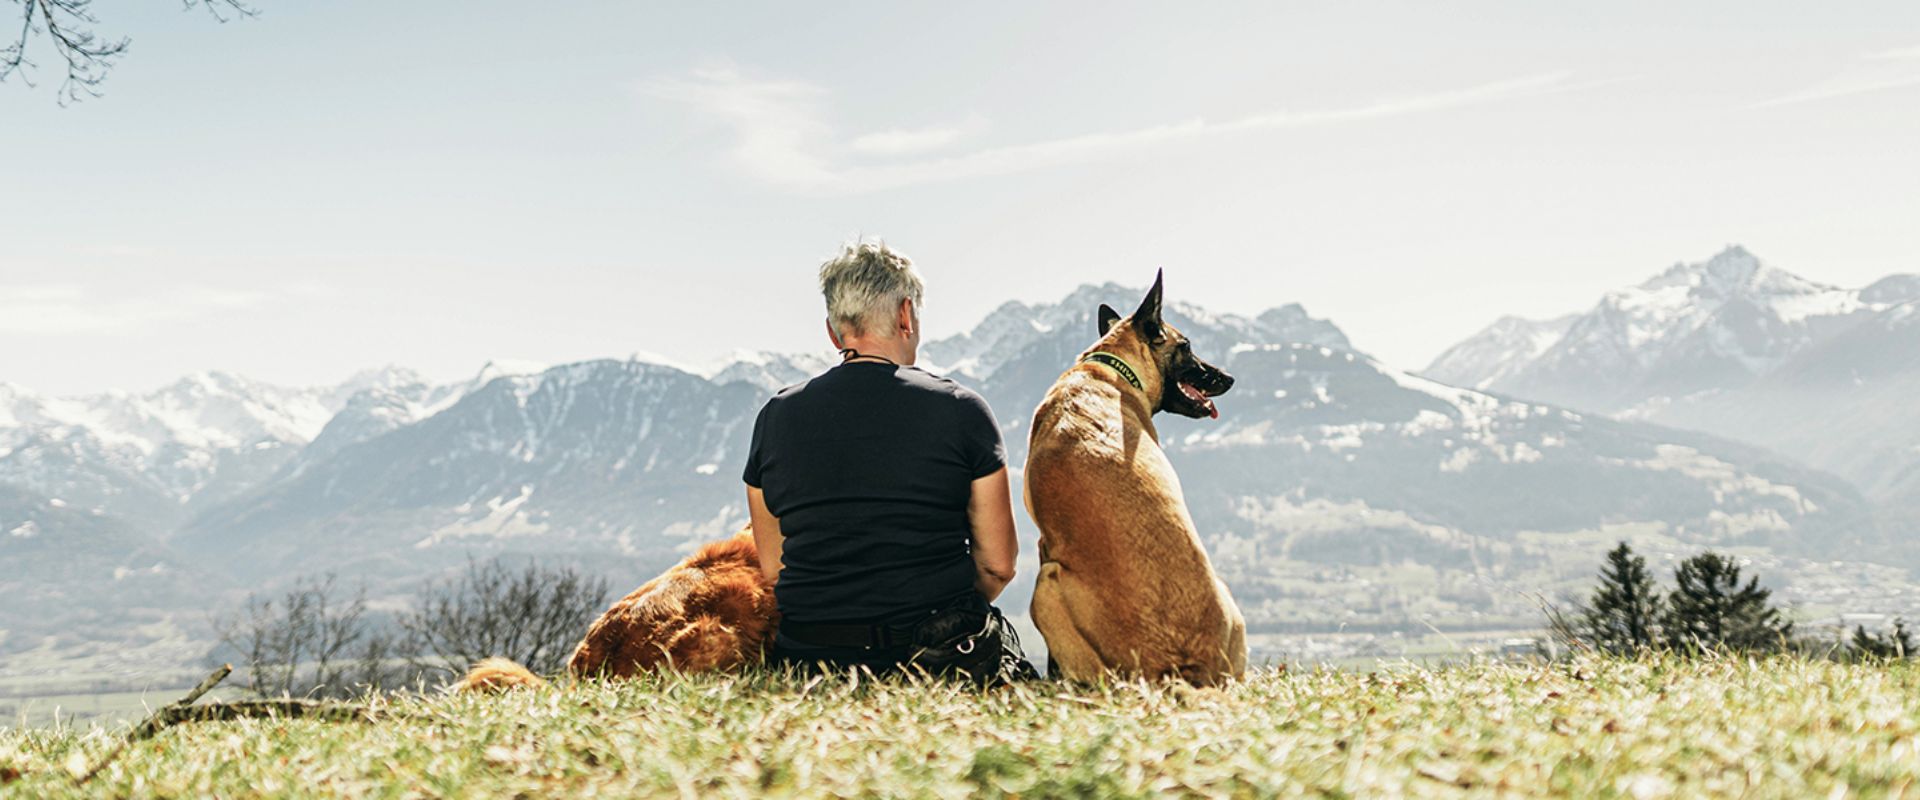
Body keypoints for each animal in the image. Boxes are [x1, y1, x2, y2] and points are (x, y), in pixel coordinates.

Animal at [1029, 270, 1251, 682]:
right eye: (1187, 347)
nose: (1229, 378)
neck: (1109, 369)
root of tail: (1180, 668)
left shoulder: (1044, 545)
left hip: (1045, 587)